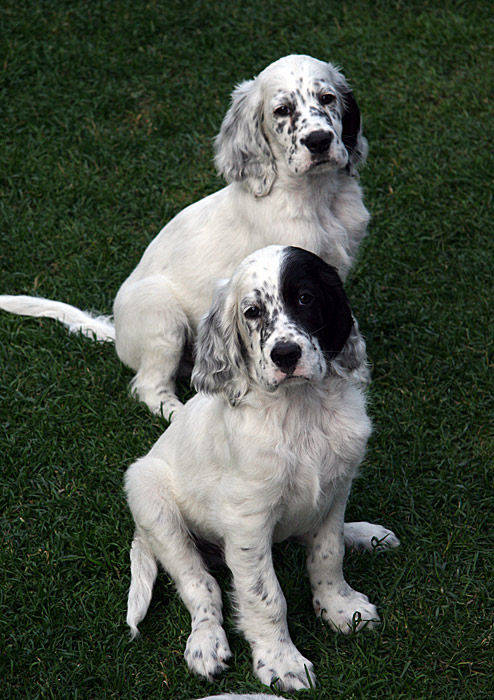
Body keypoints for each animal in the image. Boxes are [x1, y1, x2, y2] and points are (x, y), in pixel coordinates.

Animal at [0, 54, 369, 418]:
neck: (317, 197)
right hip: (164, 319)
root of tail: (118, 334)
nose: (319, 141)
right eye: (282, 110)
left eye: (328, 98)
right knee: (149, 386)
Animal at [124, 246, 399, 692]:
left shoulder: (336, 490)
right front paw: (282, 662)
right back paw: (205, 643)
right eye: (252, 312)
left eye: (305, 298)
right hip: (149, 495)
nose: (285, 355)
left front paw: (339, 607)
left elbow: (328, 553)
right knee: (201, 585)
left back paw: (364, 533)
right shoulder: (248, 522)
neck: (301, 410)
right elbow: (265, 595)